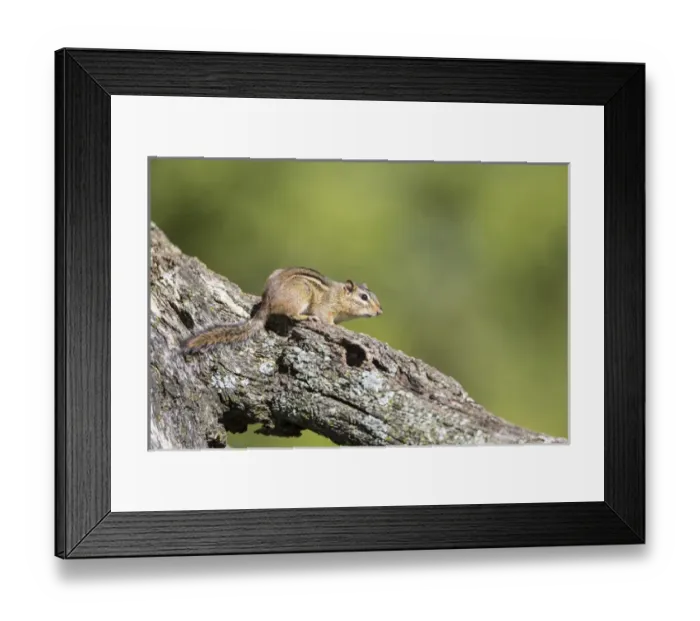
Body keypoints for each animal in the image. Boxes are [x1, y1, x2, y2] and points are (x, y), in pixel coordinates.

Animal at [181, 267, 383, 353]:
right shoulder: (326, 308)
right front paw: (337, 327)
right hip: (302, 293)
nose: (380, 311)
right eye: (364, 297)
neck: (339, 295)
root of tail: (268, 299)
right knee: (290, 313)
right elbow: (326, 319)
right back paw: (305, 318)